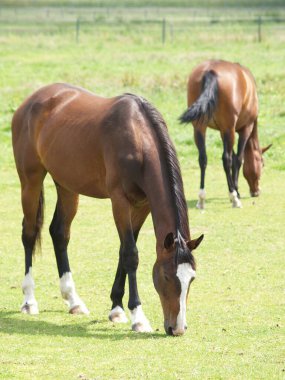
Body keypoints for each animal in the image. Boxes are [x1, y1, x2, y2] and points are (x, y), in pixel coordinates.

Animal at [11, 84, 202, 336]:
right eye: (167, 276)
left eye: (192, 279)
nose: (177, 328)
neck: (138, 138)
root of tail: (31, 100)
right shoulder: (119, 201)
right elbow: (131, 254)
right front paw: (138, 317)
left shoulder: (143, 205)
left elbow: (124, 250)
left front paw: (117, 307)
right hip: (30, 180)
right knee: (29, 233)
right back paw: (29, 300)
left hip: (67, 185)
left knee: (60, 233)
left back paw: (73, 301)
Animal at [179, 59, 270, 208]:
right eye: (262, 163)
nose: (256, 192)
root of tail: (210, 71)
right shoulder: (244, 129)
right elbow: (238, 159)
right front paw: (236, 191)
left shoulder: (223, 132)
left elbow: (233, 157)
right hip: (229, 130)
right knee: (226, 159)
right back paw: (234, 198)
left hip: (200, 128)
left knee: (203, 159)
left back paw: (201, 198)